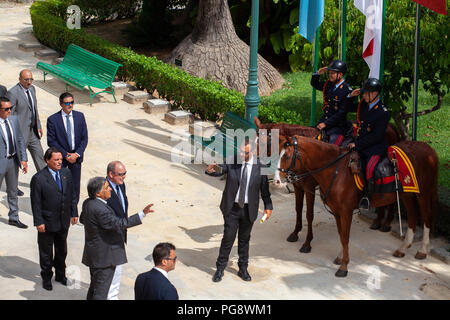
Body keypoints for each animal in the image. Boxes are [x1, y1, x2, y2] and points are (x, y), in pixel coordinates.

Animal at [255, 116, 402, 251]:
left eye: (262, 143)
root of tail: (391, 126)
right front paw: (295, 233)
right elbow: (298, 209)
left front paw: (307, 242)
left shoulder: (309, 188)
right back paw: (378, 220)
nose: (253, 160)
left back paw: (387, 222)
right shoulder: (298, 187)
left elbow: (309, 214)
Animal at [280, 134, 438, 276]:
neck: (336, 171)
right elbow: (341, 235)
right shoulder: (336, 211)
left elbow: (344, 236)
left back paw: (422, 250)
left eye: (286, 156)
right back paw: (403, 247)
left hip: (423, 193)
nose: (279, 178)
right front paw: (341, 257)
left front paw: (344, 266)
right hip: (407, 194)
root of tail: (429, 149)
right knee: (412, 215)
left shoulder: (345, 211)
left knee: (426, 216)